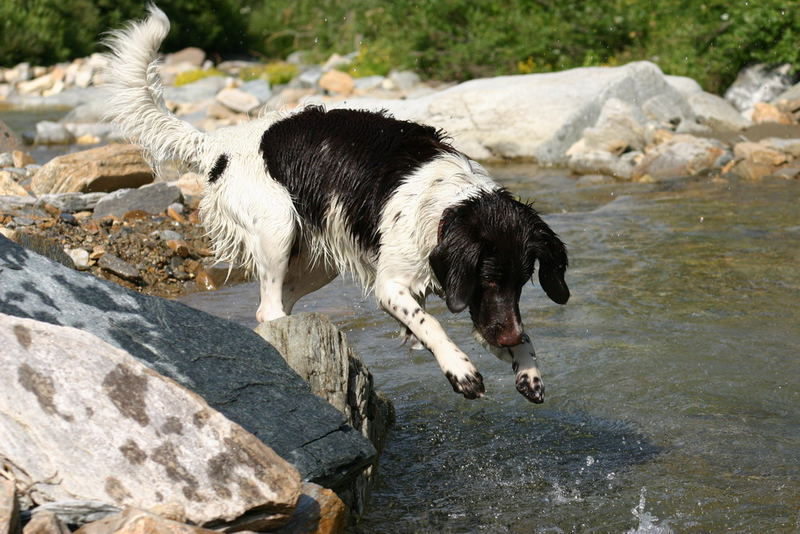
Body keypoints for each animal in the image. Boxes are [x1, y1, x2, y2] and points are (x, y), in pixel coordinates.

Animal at [104, 6, 568, 404]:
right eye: (489, 279)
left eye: (523, 281)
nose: (506, 339)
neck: (445, 203)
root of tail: (221, 146)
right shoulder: (394, 285)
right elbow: (430, 322)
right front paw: (461, 370)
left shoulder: (470, 296)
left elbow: (507, 330)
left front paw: (528, 369)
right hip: (278, 225)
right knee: (268, 308)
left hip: (315, 260)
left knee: (278, 311)